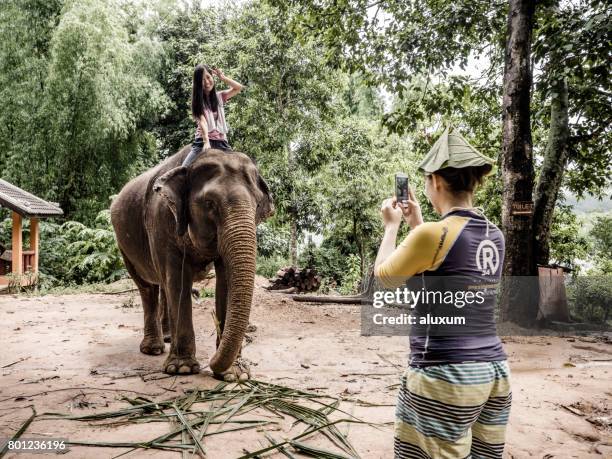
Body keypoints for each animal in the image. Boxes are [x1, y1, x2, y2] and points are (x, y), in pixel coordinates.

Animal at [109, 148, 272, 380]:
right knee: (147, 287)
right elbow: (178, 279)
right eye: (210, 204)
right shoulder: (161, 221)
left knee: (163, 285)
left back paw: (168, 338)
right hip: (123, 244)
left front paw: (235, 375)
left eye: (257, 204)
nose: (211, 364)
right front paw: (182, 369)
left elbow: (226, 281)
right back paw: (153, 349)